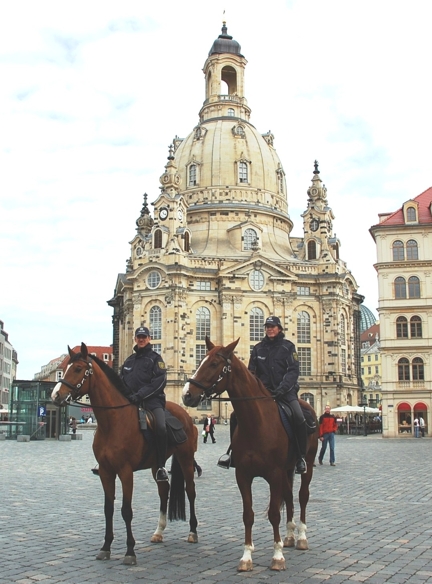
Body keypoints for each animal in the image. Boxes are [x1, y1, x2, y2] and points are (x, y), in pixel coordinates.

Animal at [52, 344, 199, 564]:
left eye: (78, 368)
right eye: (66, 367)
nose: (55, 395)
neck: (113, 421)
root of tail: (184, 414)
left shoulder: (125, 471)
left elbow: (126, 510)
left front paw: (130, 551)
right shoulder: (106, 472)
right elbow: (108, 509)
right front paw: (105, 547)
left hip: (186, 458)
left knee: (190, 491)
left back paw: (193, 532)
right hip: (157, 463)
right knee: (164, 490)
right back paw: (159, 531)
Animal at [182, 338, 318, 572]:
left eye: (214, 364)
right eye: (200, 359)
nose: (187, 394)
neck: (257, 423)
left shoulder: (274, 474)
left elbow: (273, 514)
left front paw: (277, 556)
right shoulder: (243, 475)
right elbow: (248, 514)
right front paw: (246, 557)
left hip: (306, 463)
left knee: (302, 496)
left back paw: (301, 537)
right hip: (287, 469)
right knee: (289, 497)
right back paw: (289, 536)